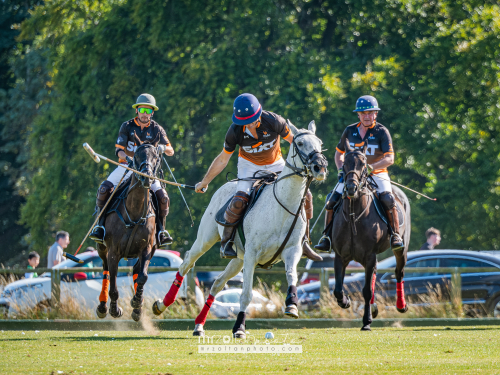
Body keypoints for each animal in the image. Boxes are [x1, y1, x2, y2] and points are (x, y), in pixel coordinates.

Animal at [94, 134, 161, 322]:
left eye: (156, 156)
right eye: (136, 155)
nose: (147, 177)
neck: (135, 211)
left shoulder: (147, 248)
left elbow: (143, 276)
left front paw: (137, 304)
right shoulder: (113, 251)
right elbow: (114, 286)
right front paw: (114, 309)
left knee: (137, 270)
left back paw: (137, 305)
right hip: (101, 248)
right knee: (105, 271)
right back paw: (102, 307)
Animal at [152, 120, 328, 338]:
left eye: (319, 143)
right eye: (301, 143)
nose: (320, 167)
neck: (281, 206)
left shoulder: (292, 251)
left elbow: (291, 276)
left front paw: (292, 306)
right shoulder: (253, 253)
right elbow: (245, 295)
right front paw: (239, 328)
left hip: (238, 258)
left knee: (218, 283)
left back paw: (199, 325)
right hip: (207, 239)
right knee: (186, 264)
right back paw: (162, 304)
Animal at [332, 141, 410, 332]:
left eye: (363, 163)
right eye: (344, 164)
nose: (351, 188)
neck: (354, 215)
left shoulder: (369, 255)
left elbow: (366, 291)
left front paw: (366, 322)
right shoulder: (340, 256)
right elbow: (338, 289)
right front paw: (345, 302)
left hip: (400, 249)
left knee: (398, 272)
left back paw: (401, 305)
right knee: (375, 275)